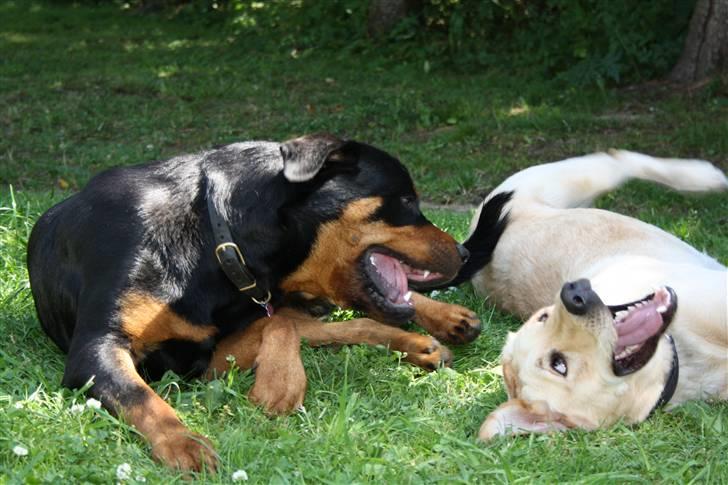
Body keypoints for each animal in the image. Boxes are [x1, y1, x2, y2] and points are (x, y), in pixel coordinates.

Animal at [28, 132, 480, 468]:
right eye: (406, 201)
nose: (464, 252)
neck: (217, 239)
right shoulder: (101, 350)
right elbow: (143, 397)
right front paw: (185, 442)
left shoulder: (208, 354)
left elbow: (277, 323)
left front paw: (278, 382)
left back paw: (443, 322)